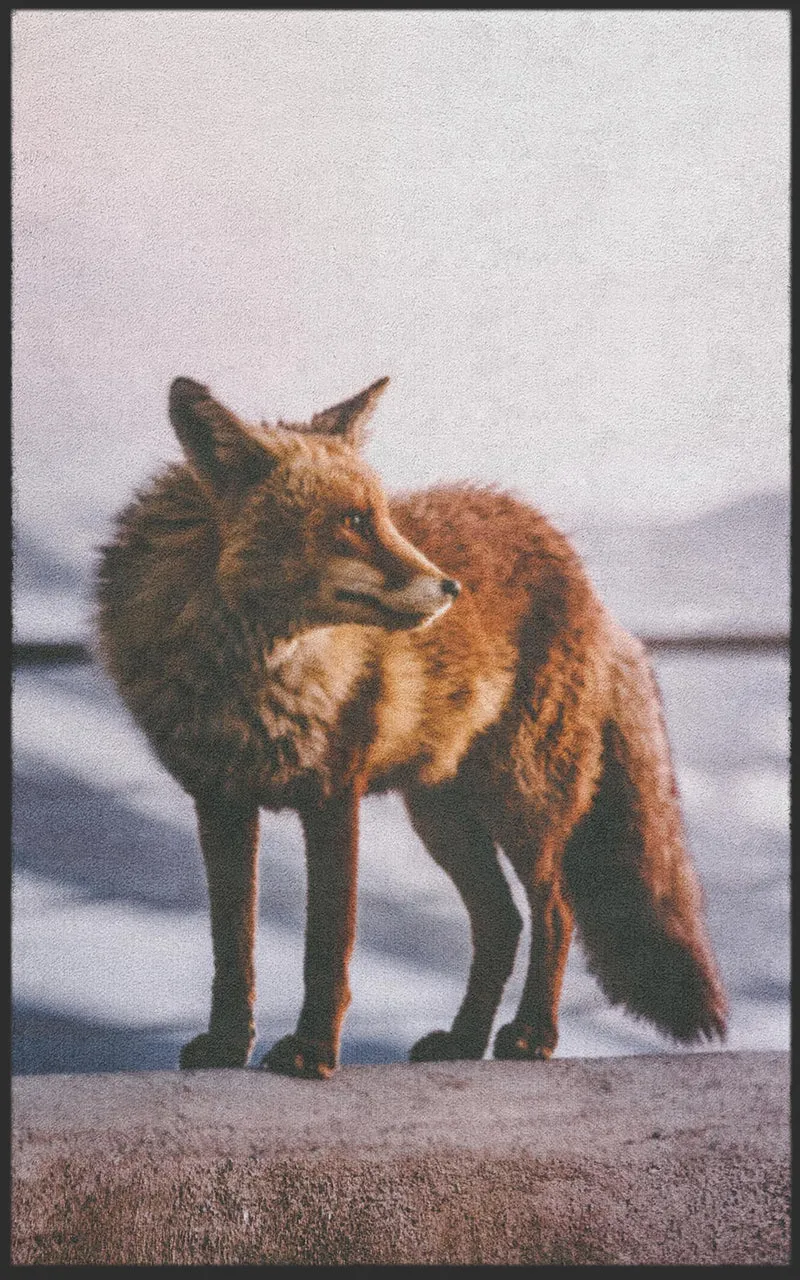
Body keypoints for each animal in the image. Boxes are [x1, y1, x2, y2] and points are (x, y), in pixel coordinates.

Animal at [96, 375, 728, 1078]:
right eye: (352, 521)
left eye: (385, 517)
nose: (452, 588)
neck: (250, 674)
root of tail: (583, 577)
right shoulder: (220, 801)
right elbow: (232, 950)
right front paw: (230, 1046)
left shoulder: (333, 795)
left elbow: (326, 948)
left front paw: (313, 1052)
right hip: (443, 817)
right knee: (501, 922)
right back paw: (464, 1040)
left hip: (524, 802)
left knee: (554, 913)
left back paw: (531, 1034)